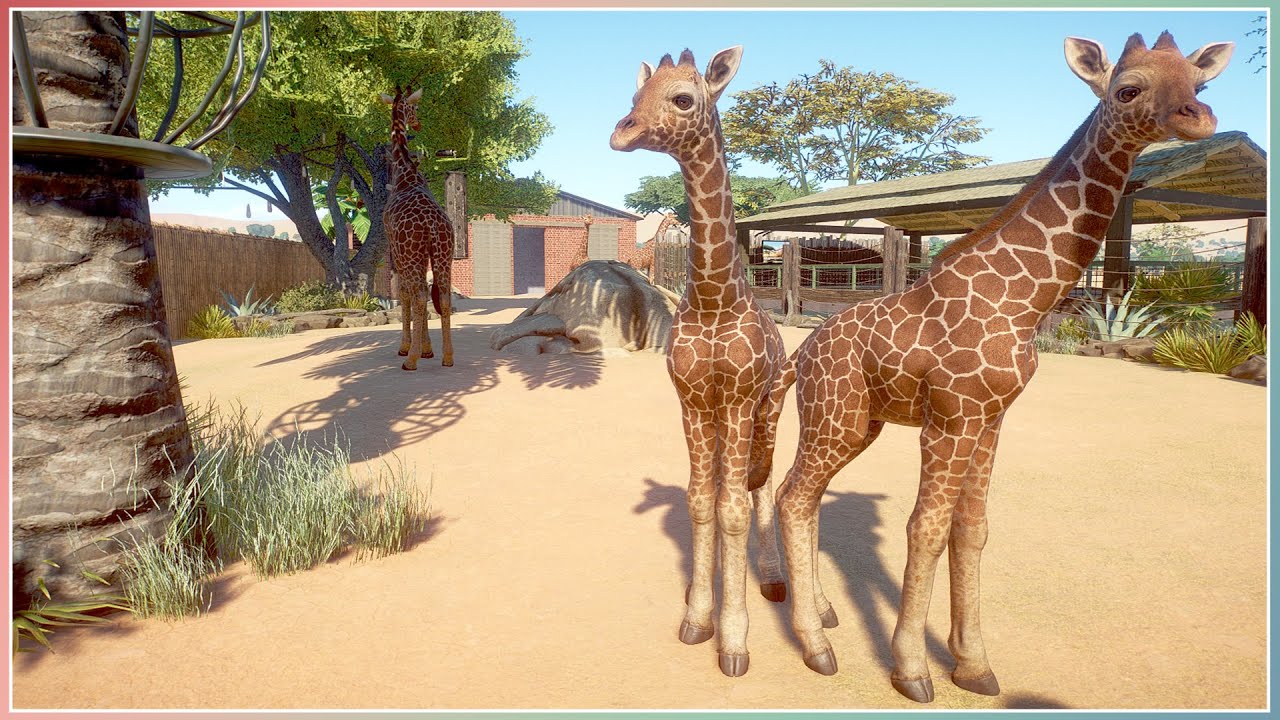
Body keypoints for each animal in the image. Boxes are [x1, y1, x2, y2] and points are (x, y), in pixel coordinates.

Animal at [380, 86, 454, 369]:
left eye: (416, 108)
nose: (418, 124)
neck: (404, 171)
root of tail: (433, 224)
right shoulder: (424, 253)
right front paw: (428, 349)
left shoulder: (395, 245)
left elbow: (405, 292)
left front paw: (409, 348)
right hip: (444, 253)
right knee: (443, 297)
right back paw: (448, 357)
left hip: (411, 253)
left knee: (420, 294)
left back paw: (410, 360)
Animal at [610, 46, 788, 677]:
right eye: (634, 96)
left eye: (684, 98)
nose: (622, 131)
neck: (714, 298)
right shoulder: (690, 401)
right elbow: (700, 501)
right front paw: (697, 616)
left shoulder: (736, 401)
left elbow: (733, 508)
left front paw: (733, 641)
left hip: (767, 410)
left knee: (762, 486)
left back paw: (773, 581)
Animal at [762, 32, 1232, 702]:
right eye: (1127, 88)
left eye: (1201, 82)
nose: (1199, 119)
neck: (1021, 300)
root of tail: (802, 352)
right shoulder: (951, 418)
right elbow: (926, 528)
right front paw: (912, 671)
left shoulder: (990, 419)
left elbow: (972, 529)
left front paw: (973, 665)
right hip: (839, 417)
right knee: (794, 496)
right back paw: (816, 646)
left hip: (858, 422)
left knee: (801, 496)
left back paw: (823, 614)